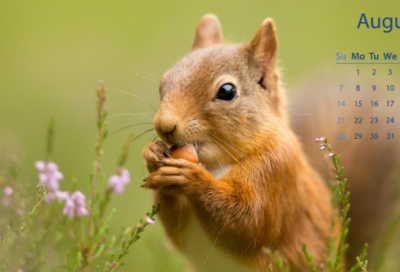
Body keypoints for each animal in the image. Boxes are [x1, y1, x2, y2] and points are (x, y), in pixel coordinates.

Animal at [141, 14, 396, 270]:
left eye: (227, 92)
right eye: (163, 83)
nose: (164, 126)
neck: (216, 163)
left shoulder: (276, 170)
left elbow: (249, 221)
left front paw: (190, 177)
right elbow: (178, 230)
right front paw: (153, 155)